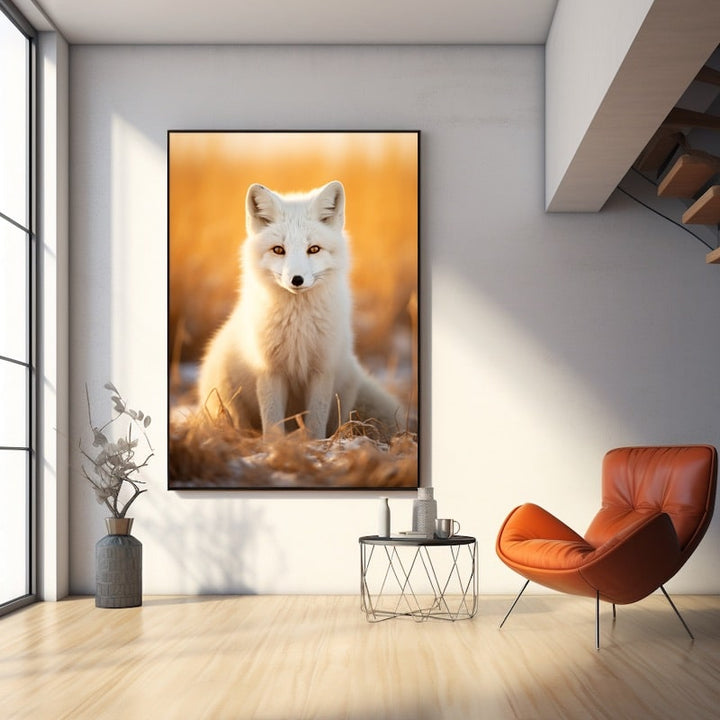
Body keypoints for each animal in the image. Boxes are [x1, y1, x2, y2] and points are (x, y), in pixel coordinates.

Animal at [197, 180, 403, 440]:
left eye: (313, 249)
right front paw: (274, 446)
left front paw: (315, 445)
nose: (297, 279)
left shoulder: (322, 369)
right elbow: (272, 422)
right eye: (278, 250)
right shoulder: (269, 369)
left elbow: (316, 421)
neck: (298, 327)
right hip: (226, 391)